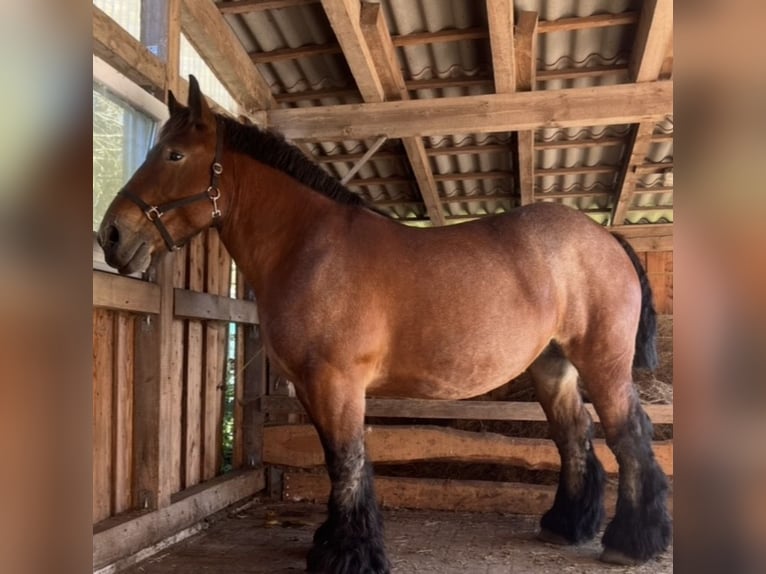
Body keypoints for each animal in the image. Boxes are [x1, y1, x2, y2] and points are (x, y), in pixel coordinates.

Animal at [97, 76, 671, 573]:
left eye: (174, 155)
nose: (112, 235)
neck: (308, 246)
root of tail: (605, 237)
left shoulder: (336, 383)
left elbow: (349, 462)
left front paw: (350, 554)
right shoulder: (311, 386)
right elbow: (335, 462)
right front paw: (331, 542)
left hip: (603, 364)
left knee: (629, 436)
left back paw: (631, 541)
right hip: (554, 367)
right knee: (574, 437)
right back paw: (565, 526)